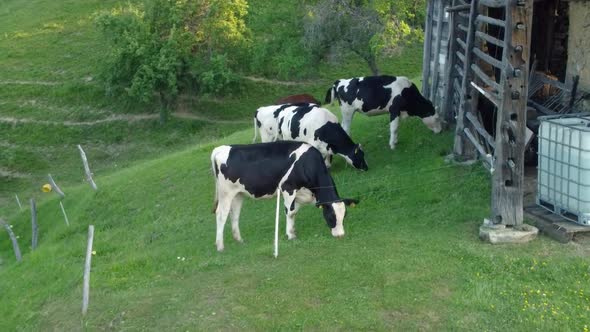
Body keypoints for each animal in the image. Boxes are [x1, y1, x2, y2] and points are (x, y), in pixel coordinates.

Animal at [213, 140, 360, 252]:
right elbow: (290, 213)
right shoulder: (287, 188)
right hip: (225, 193)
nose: (340, 235)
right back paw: (220, 246)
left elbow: (294, 212)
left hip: (238, 194)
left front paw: (292, 231)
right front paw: (290, 235)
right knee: (221, 215)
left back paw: (239, 240)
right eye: (330, 216)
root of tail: (220, 148)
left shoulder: (300, 194)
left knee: (234, 215)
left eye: (344, 215)